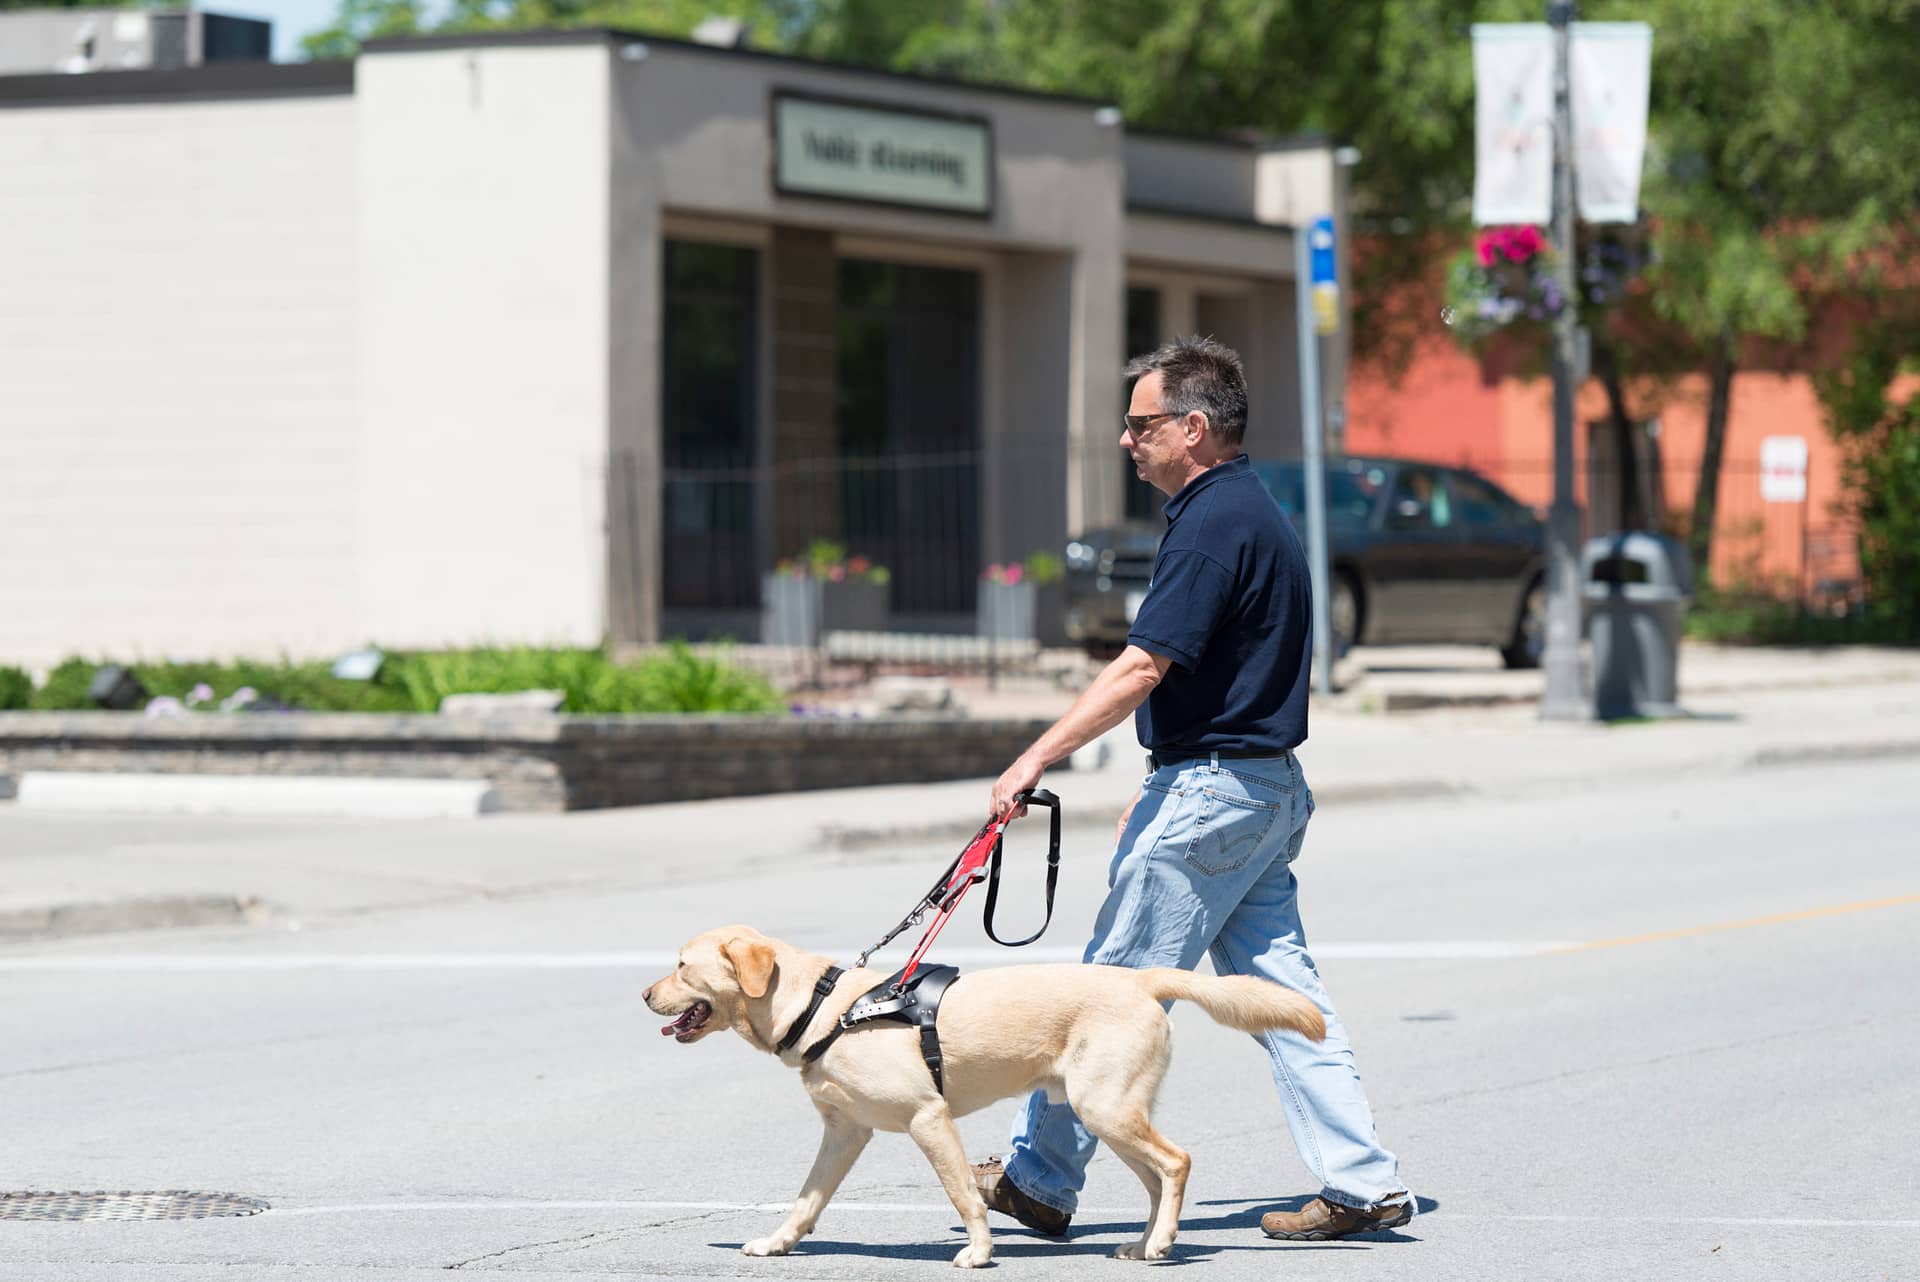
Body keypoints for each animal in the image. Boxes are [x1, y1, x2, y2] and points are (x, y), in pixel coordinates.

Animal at [641, 925, 1320, 1266]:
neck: (823, 1007)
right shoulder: (845, 1133)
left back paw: (1159, 1244)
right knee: (1157, 1179)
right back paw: (1148, 1241)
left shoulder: (929, 1118)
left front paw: (980, 1252)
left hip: (1106, 1108)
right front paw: (777, 1244)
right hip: (1110, 1113)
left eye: (681, 965)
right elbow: (806, 1202)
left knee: (1177, 1162)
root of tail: (1141, 980)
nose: (644, 994)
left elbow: (963, 1194)